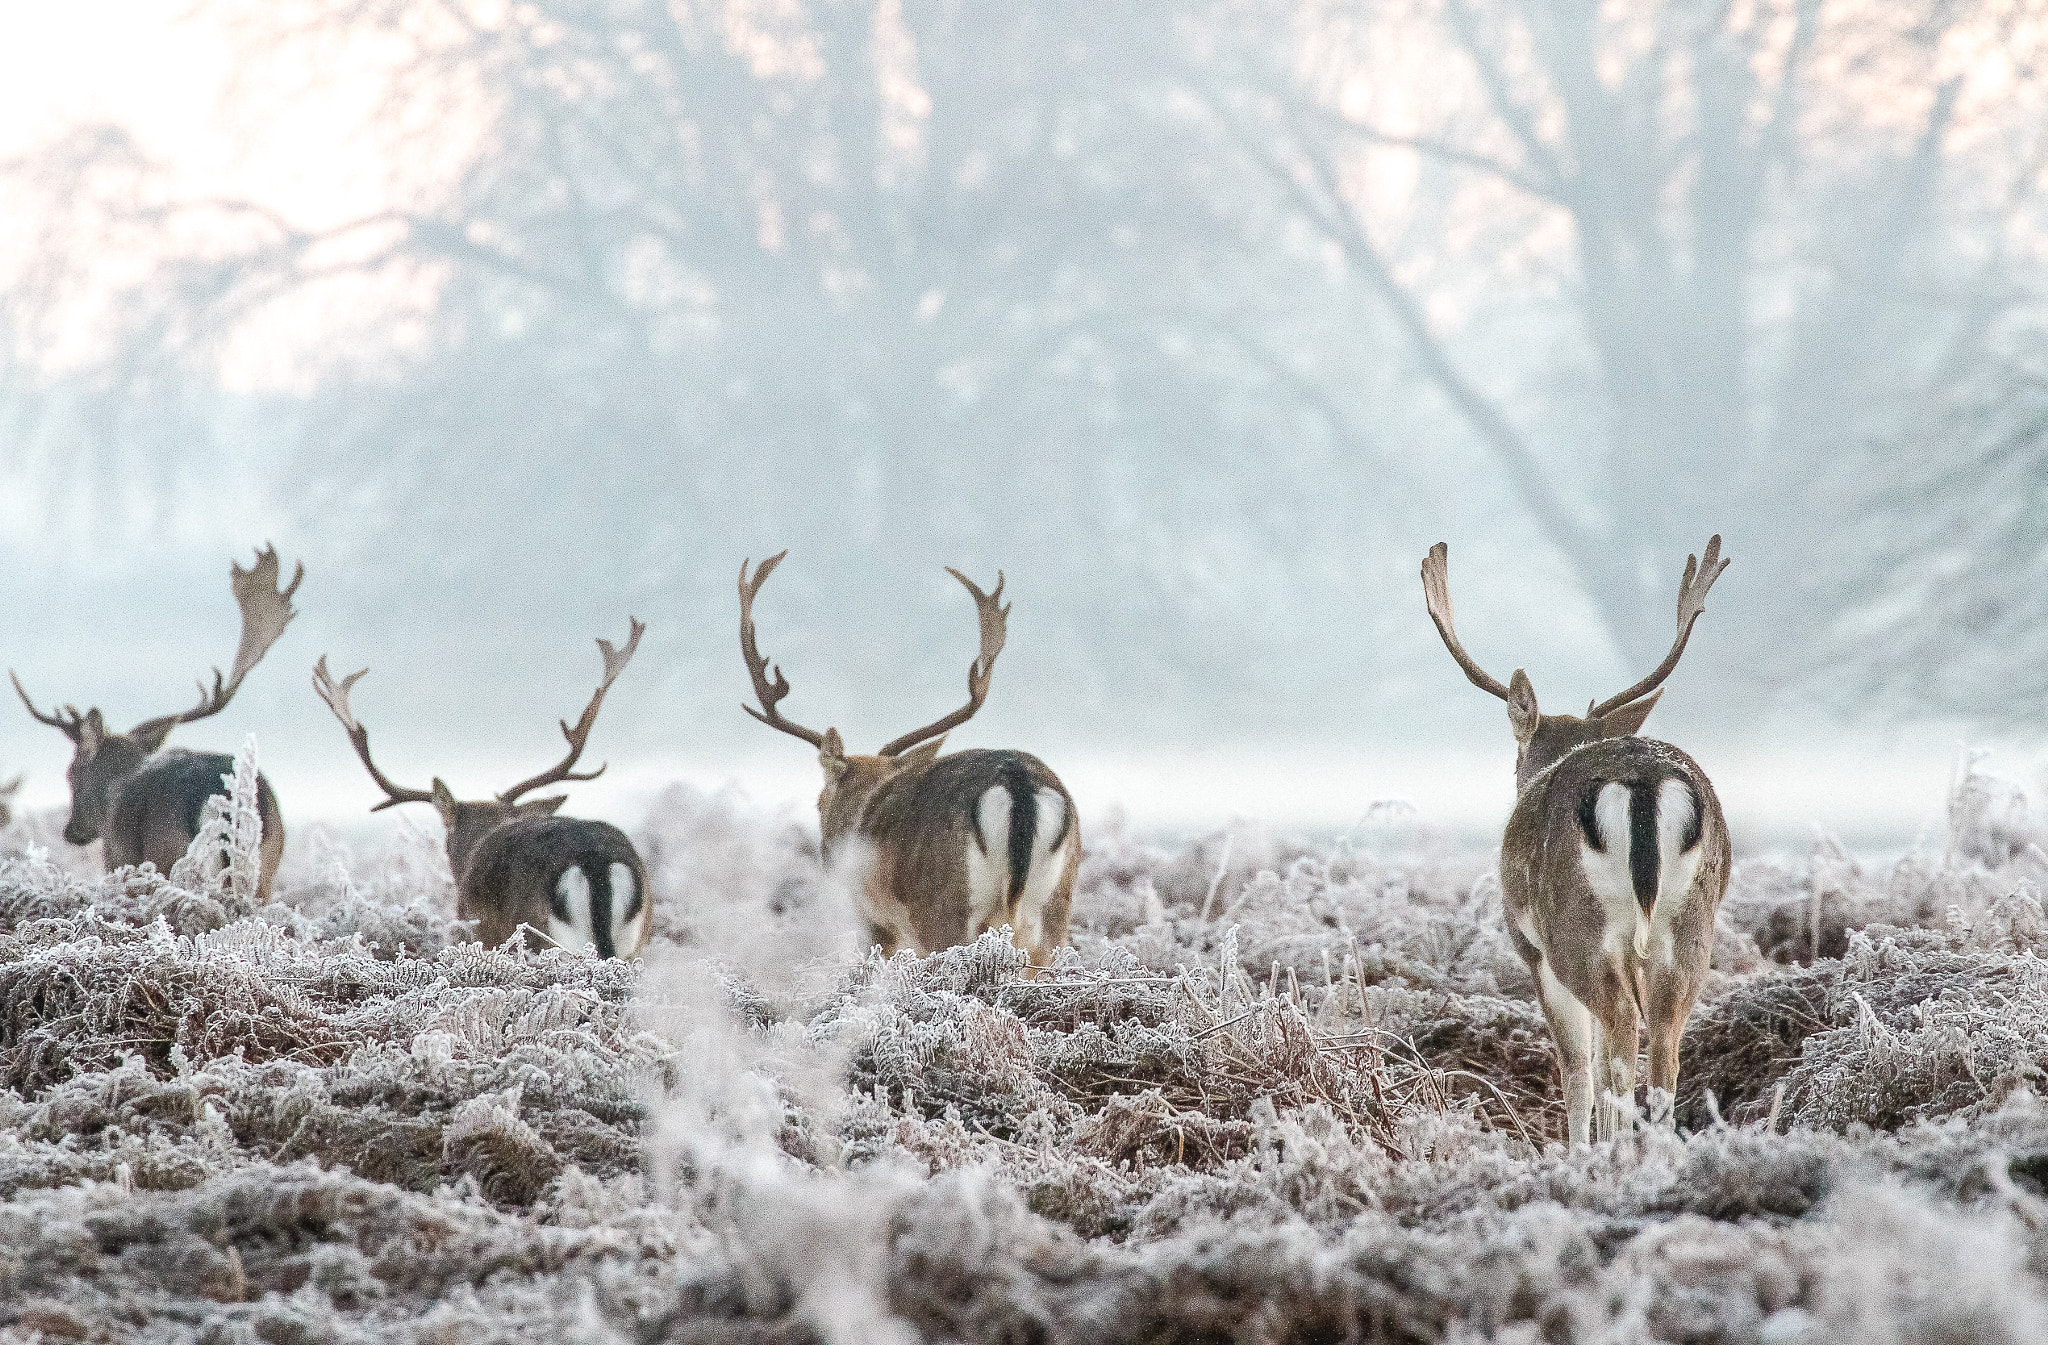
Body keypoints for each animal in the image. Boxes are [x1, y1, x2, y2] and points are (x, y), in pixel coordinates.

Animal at [12, 546, 302, 901]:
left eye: (71, 772)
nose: (71, 831)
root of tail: (220, 798)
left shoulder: (116, 857)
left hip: (170, 854)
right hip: (265, 868)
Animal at [1421, 536, 1732, 1146]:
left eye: (1516, 752)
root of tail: (1641, 781)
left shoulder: (1532, 949)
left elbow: (1575, 1066)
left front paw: (1580, 1149)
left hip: (1577, 927)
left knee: (1619, 1033)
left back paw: (1614, 1150)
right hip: (1690, 925)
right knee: (1664, 1041)